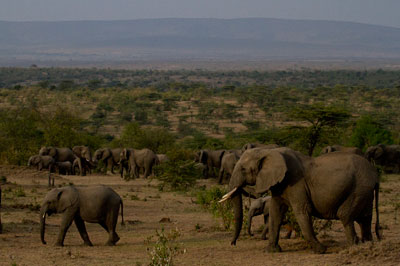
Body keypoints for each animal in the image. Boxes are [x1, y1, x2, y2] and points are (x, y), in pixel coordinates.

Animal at [222, 148, 382, 254]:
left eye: (243, 169)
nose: (233, 243)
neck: (269, 151)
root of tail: (375, 174)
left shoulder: (296, 183)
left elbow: (302, 212)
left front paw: (321, 250)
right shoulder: (280, 185)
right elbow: (276, 213)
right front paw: (272, 251)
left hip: (359, 187)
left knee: (345, 215)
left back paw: (353, 247)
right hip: (364, 191)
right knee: (365, 218)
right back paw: (367, 245)